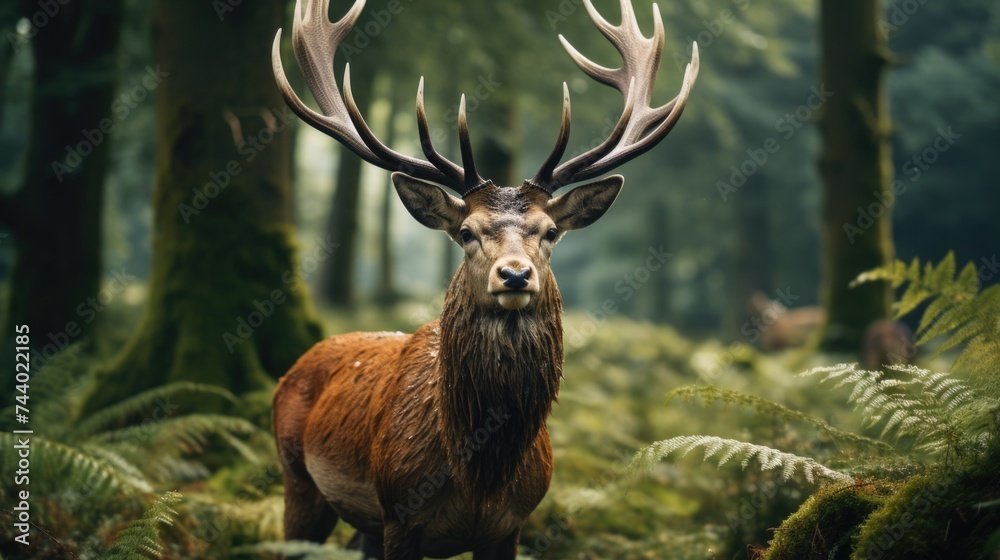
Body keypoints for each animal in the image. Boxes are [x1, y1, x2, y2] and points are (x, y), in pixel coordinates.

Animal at [269, 0, 698, 558]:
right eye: (466, 232)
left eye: (551, 231)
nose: (515, 274)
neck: (481, 474)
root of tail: (298, 364)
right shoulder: (399, 516)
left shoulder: (510, 525)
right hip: (299, 482)